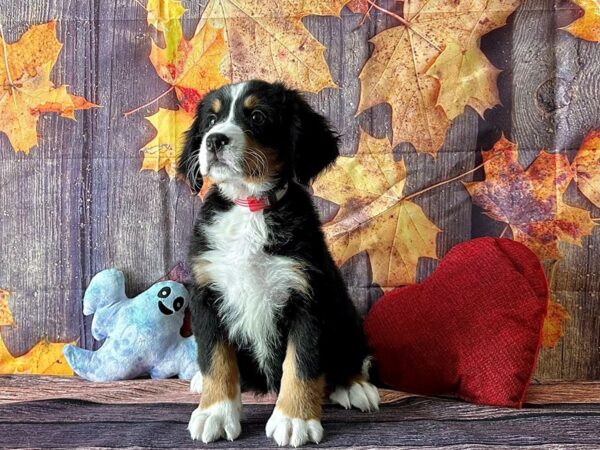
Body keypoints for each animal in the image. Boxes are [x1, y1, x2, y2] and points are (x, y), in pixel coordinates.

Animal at [178, 80, 380, 446]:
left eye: (258, 116)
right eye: (211, 120)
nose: (214, 140)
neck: (250, 207)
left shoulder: (308, 296)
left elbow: (300, 364)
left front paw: (293, 419)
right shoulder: (208, 293)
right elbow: (217, 360)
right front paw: (215, 412)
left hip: (344, 312)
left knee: (351, 355)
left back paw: (355, 386)